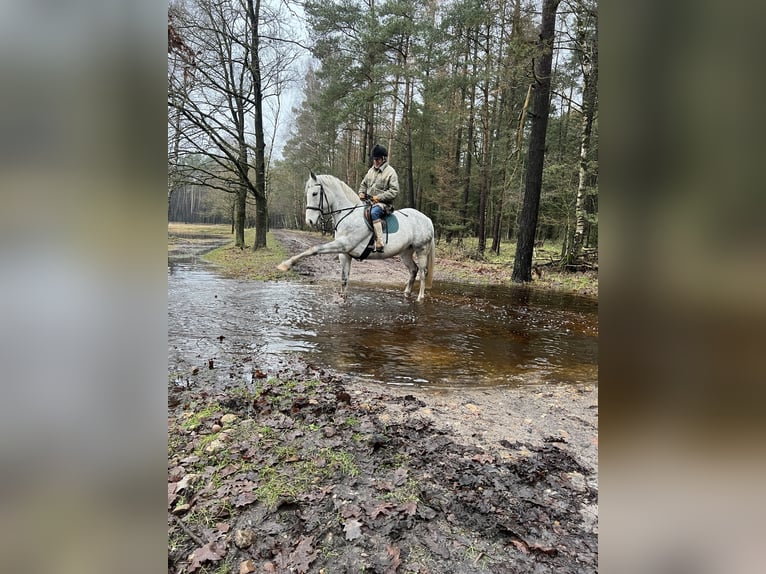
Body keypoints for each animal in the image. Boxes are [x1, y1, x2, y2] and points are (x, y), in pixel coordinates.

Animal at [276, 173, 436, 304]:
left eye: (315, 193)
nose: (309, 221)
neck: (348, 215)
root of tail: (427, 219)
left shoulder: (343, 244)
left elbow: (314, 249)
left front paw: (285, 265)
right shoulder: (344, 254)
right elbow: (344, 279)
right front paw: (342, 299)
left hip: (421, 250)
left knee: (423, 273)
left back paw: (420, 297)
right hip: (405, 252)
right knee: (413, 270)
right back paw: (406, 294)